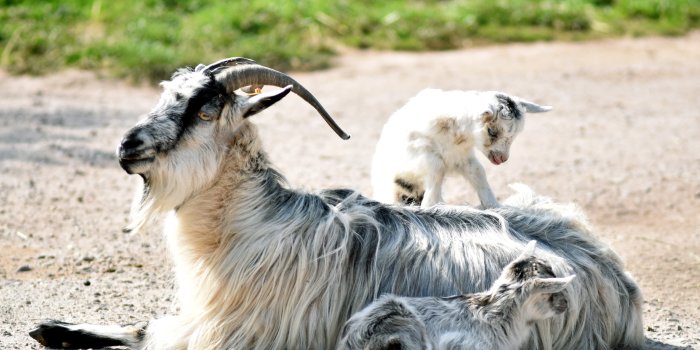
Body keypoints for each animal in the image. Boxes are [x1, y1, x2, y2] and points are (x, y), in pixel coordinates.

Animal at [30, 58, 644, 348]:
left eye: (204, 108)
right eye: (165, 96)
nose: (126, 147)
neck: (252, 225)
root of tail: (617, 280)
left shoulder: (238, 335)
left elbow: (150, 337)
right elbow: (142, 328)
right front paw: (51, 327)